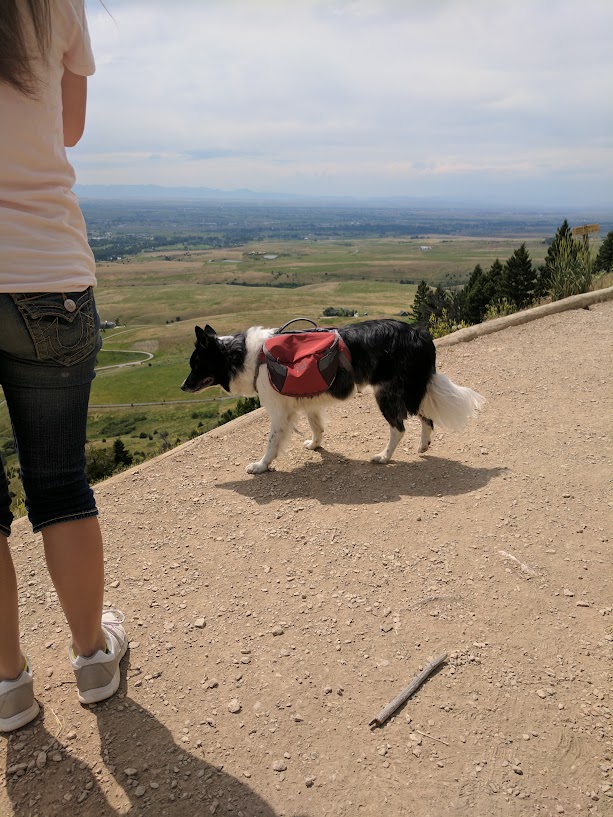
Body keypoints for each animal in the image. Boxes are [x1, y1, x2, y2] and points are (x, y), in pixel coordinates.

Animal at [179, 318, 486, 472]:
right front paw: (315, 445)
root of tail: (420, 334)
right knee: (425, 417)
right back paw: (423, 446)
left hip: (387, 393)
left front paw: (261, 465)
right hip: (410, 389)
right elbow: (317, 426)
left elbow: (271, 443)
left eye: (196, 364)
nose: (182, 386)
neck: (245, 356)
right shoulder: (307, 402)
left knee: (399, 428)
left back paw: (384, 457)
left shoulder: (278, 412)